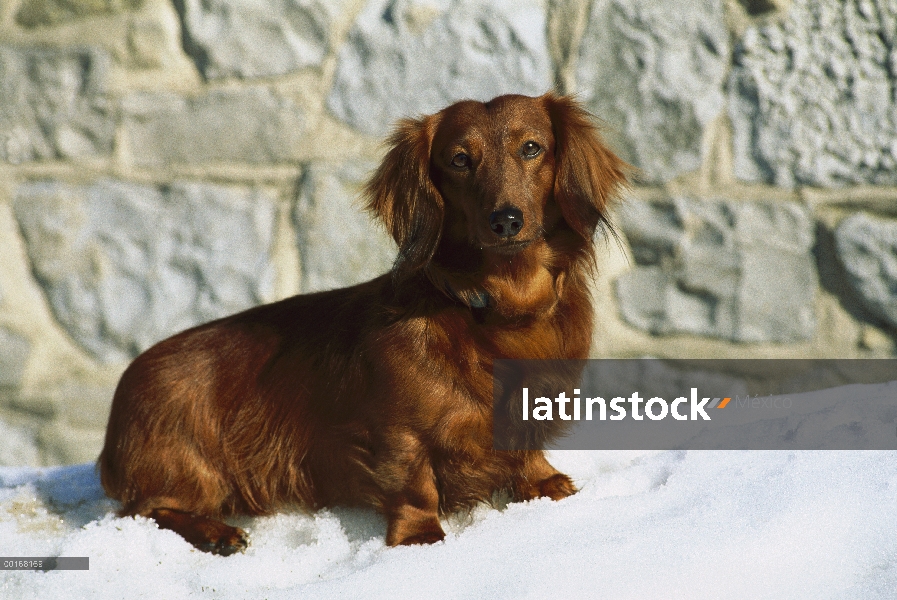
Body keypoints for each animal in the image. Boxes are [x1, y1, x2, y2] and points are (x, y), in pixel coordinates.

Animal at [98, 91, 628, 556]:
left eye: (532, 148)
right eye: (459, 160)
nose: (507, 221)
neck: (500, 310)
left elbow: (526, 451)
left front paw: (548, 484)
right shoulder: (397, 434)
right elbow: (415, 484)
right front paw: (420, 539)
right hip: (191, 465)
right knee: (148, 509)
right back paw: (216, 534)